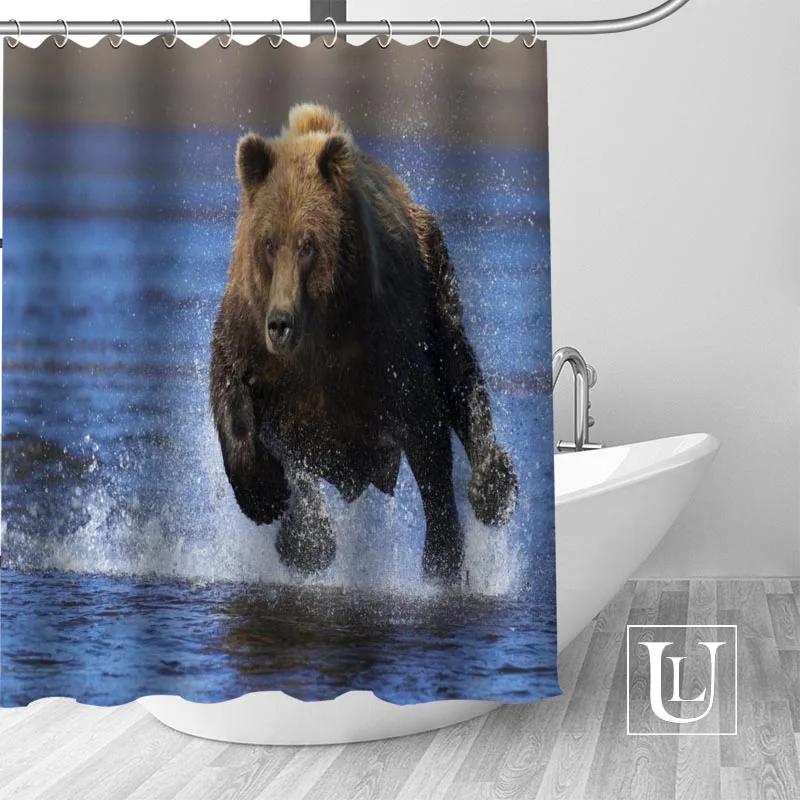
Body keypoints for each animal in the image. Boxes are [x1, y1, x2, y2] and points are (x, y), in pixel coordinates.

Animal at [209, 103, 519, 585]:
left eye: (308, 243)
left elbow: (427, 431)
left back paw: (493, 484)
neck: (322, 332)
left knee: (458, 370)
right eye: (268, 242)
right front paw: (273, 504)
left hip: (432, 276)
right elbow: (233, 388)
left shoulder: (383, 345)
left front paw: (442, 557)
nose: (280, 323)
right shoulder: (251, 331)